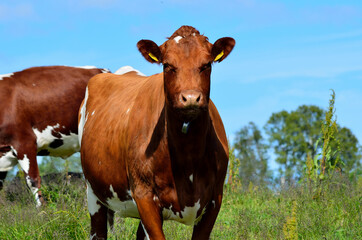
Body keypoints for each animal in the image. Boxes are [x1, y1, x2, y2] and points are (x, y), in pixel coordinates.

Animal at [79, 25, 235, 239]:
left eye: (206, 65)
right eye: (168, 65)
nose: (191, 98)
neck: (188, 155)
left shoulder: (215, 199)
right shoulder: (144, 196)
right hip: (93, 193)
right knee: (98, 230)